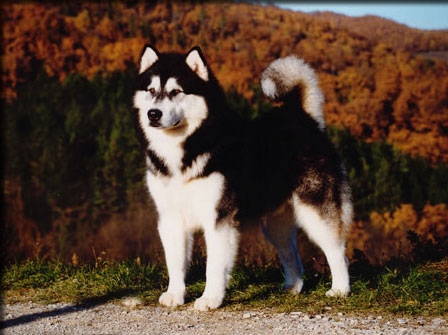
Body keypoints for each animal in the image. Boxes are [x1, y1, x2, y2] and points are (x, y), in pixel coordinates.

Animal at [133, 45, 354, 312]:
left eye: (176, 91)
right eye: (151, 91)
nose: (153, 114)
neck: (185, 148)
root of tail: (301, 118)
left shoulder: (219, 219)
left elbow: (214, 266)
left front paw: (210, 298)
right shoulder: (171, 218)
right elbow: (174, 263)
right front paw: (175, 294)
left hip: (316, 213)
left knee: (337, 251)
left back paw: (340, 289)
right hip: (275, 224)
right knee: (291, 254)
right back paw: (292, 286)